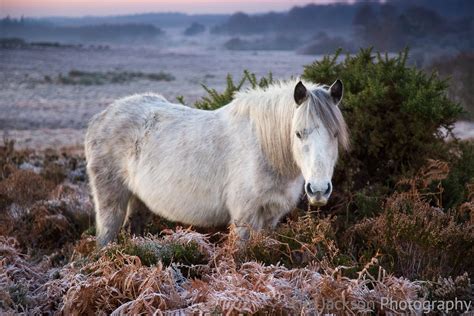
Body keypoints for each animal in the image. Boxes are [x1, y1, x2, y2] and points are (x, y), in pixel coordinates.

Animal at [85, 79, 350, 247]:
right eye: (298, 133)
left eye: (335, 134)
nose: (318, 190)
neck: (264, 149)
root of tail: (101, 117)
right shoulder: (244, 219)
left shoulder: (271, 218)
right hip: (110, 203)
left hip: (139, 201)